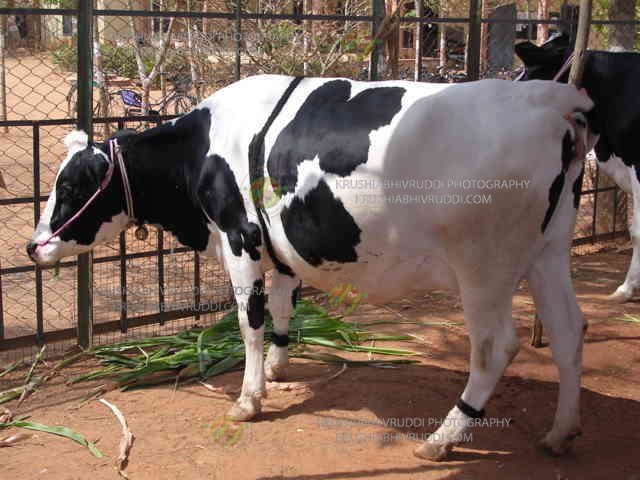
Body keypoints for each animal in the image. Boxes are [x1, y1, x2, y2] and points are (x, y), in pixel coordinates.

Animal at [27, 75, 594, 460]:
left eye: (71, 186)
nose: (34, 248)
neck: (202, 148)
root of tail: (549, 100)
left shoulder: (239, 238)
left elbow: (249, 321)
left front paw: (249, 398)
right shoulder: (278, 243)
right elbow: (282, 306)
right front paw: (278, 369)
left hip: (483, 266)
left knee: (496, 347)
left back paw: (441, 438)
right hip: (548, 250)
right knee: (569, 330)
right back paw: (560, 433)